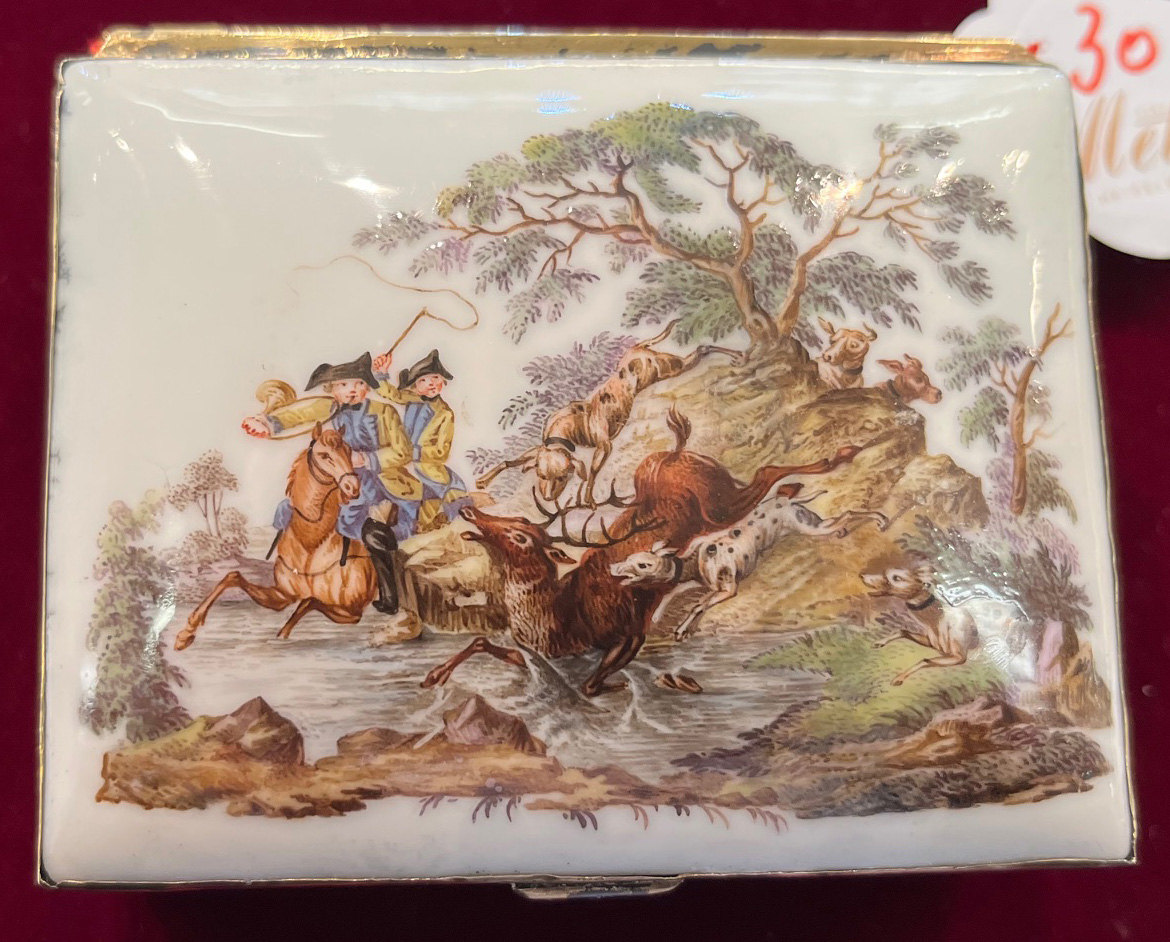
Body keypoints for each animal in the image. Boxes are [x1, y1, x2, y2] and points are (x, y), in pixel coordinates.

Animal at [173, 423, 377, 650]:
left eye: (349, 452)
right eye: (324, 455)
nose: (353, 487)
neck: (311, 543)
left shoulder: (353, 611)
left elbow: (309, 600)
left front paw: (282, 633)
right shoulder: (282, 595)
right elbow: (232, 577)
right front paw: (186, 633)